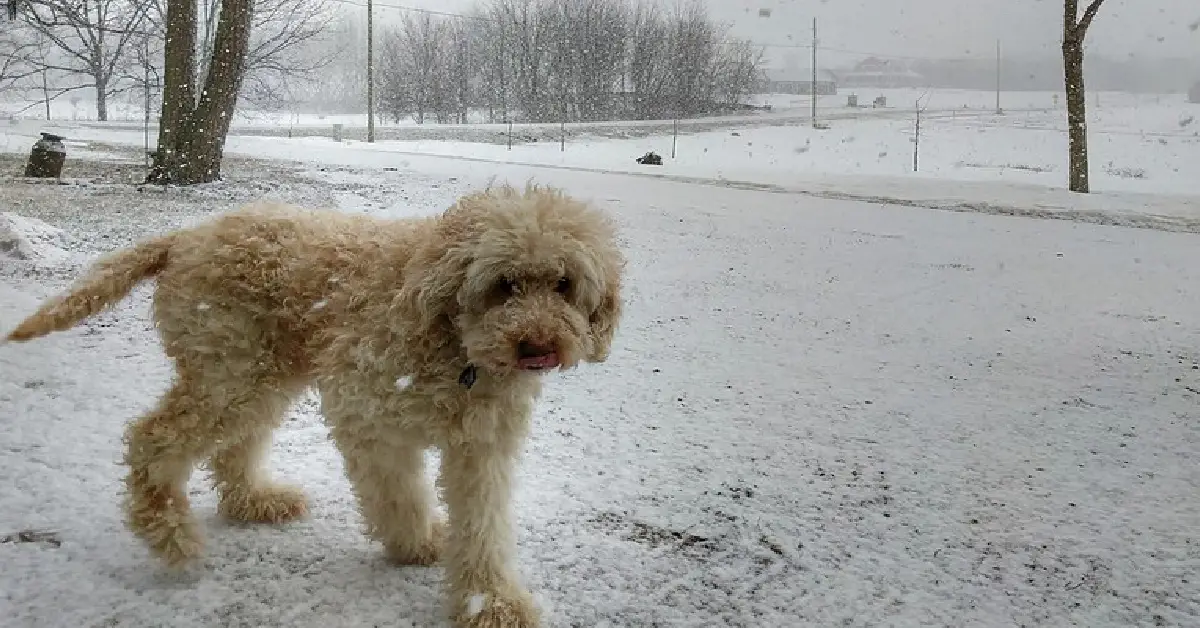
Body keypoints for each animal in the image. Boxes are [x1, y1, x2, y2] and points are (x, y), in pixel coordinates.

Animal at [7, 184, 628, 624]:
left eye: (564, 284)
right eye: (504, 284)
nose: (538, 346)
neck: (454, 342)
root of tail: (182, 237)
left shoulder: (483, 445)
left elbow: (484, 526)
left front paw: (491, 604)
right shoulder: (366, 411)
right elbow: (398, 494)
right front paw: (415, 544)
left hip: (260, 376)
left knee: (231, 449)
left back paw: (255, 502)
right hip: (231, 373)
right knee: (152, 439)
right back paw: (171, 535)